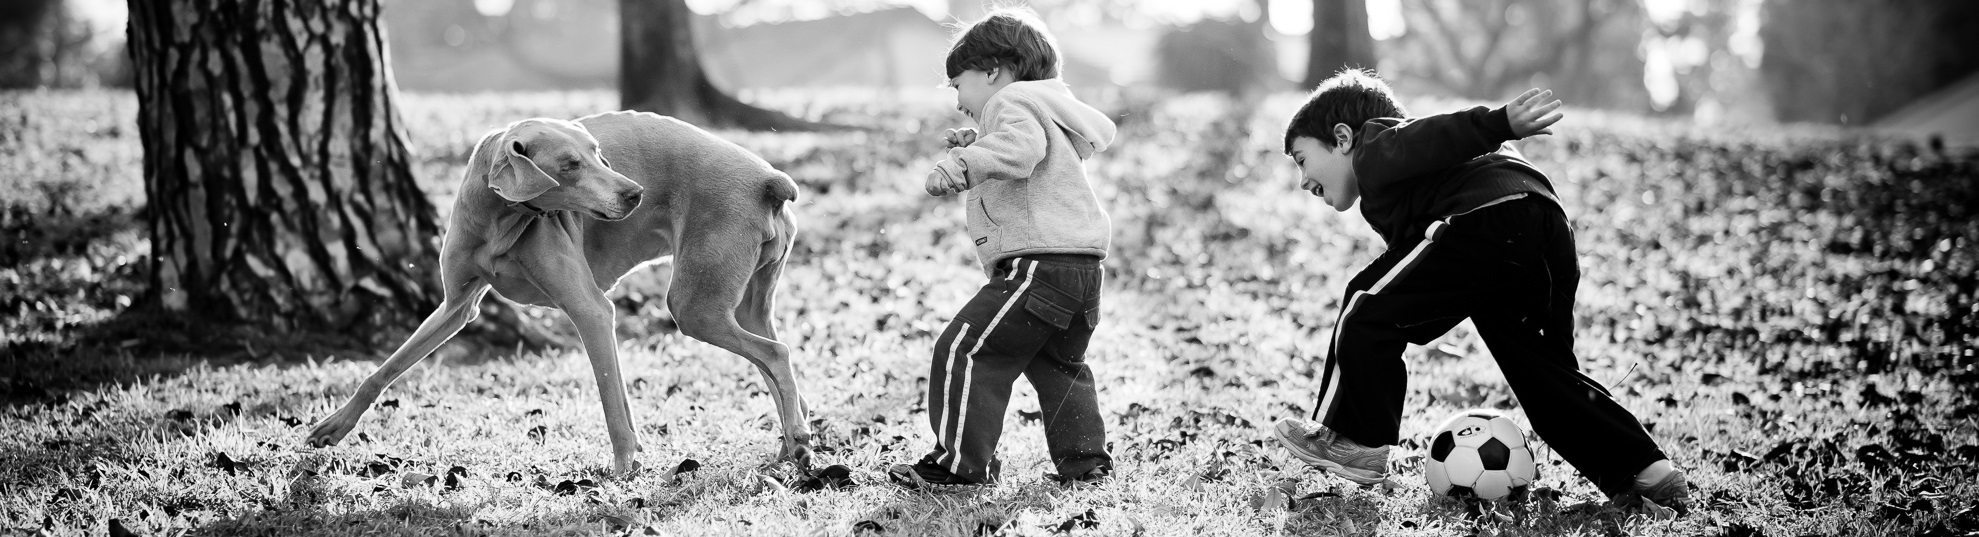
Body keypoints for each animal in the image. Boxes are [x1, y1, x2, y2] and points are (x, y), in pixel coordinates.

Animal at [302, 110, 811, 475]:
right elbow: (384, 369)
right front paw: (331, 428)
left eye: (601, 155)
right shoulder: (456, 306)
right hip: (742, 304)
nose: (636, 194)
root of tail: (770, 180)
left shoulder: (591, 310)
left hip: (694, 306)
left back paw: (797, 439)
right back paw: (795, 443)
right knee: (773, 361)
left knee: (778, 354)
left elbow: (611, 399)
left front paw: (624, 468)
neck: (500, 218)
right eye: (570, 165)